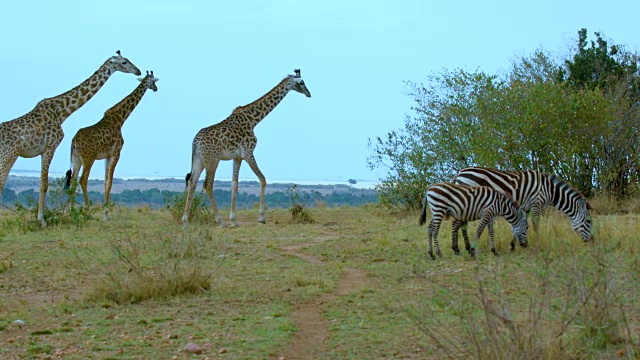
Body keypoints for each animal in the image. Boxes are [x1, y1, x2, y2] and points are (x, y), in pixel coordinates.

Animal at [0, 50, 141, 228]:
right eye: (124, 62)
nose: (138, 71)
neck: (62, 112)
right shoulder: (50, 147)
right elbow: (44, 184)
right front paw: (42, 221)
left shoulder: (46, 150)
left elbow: (44, 183)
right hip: (9, 155)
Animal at [64, 71, 160, 221]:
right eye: (153, 81)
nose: (156, 88)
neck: (120, 119)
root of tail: (73, 141)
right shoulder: (116, 153)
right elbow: (110, 182)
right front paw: (106, 214)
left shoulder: (106, 156)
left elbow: (105, 182)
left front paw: (105, 211)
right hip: (88, 158)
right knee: (83, 180)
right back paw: (87, 212)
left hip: (76, 159)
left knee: (73, 181)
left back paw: (71, 211)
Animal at [181, 69, 312, 228]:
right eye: (302, 82)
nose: (309, 93)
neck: (253, 120)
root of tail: (195, 142)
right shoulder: (248, 153)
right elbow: (262, 179)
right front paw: (261, 218)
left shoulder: (237, 157)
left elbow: (234, 184)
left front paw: (234, 220)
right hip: (212, 160)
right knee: (207, 184)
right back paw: (219, 221)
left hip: (199, 160)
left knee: (192, 182)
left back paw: (185, 222)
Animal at [450, 167, 596, 243]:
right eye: (589, 222)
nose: (592, 241)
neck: (550, 190)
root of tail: (459, 172)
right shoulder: (536, 203)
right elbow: (535, 224)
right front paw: (537, 242)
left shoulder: (524, 208)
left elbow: (520, 224)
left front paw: (515, 244)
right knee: (458, 224)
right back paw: (461, 249)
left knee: (460, 225)